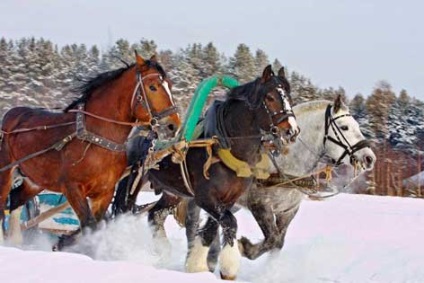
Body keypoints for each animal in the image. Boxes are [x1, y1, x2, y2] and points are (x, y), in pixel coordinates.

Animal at [0, 54, 181, 250]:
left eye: (170, 85)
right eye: (152, 87)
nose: (173, 126)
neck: (96, 139)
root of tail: (11, 115)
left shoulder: (104, 192)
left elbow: (97, 225)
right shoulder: (72, 188)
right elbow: (89, 225)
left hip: (34, 180)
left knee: (15, 199)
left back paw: (15, 241)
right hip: (6, 171)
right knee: (3, 203)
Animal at [116, 65, 300, 280]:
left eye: (289, 96)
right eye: (270, 97)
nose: (292, 131)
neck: (224, 145)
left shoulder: (227, 200)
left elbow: (211, 230)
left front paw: (196, 265)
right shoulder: (205, 197)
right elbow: (230, 222)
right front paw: (227, 267)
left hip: (172, 192)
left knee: (155, 215)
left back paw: (163, 250)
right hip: (132, 180)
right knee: (122, 210)